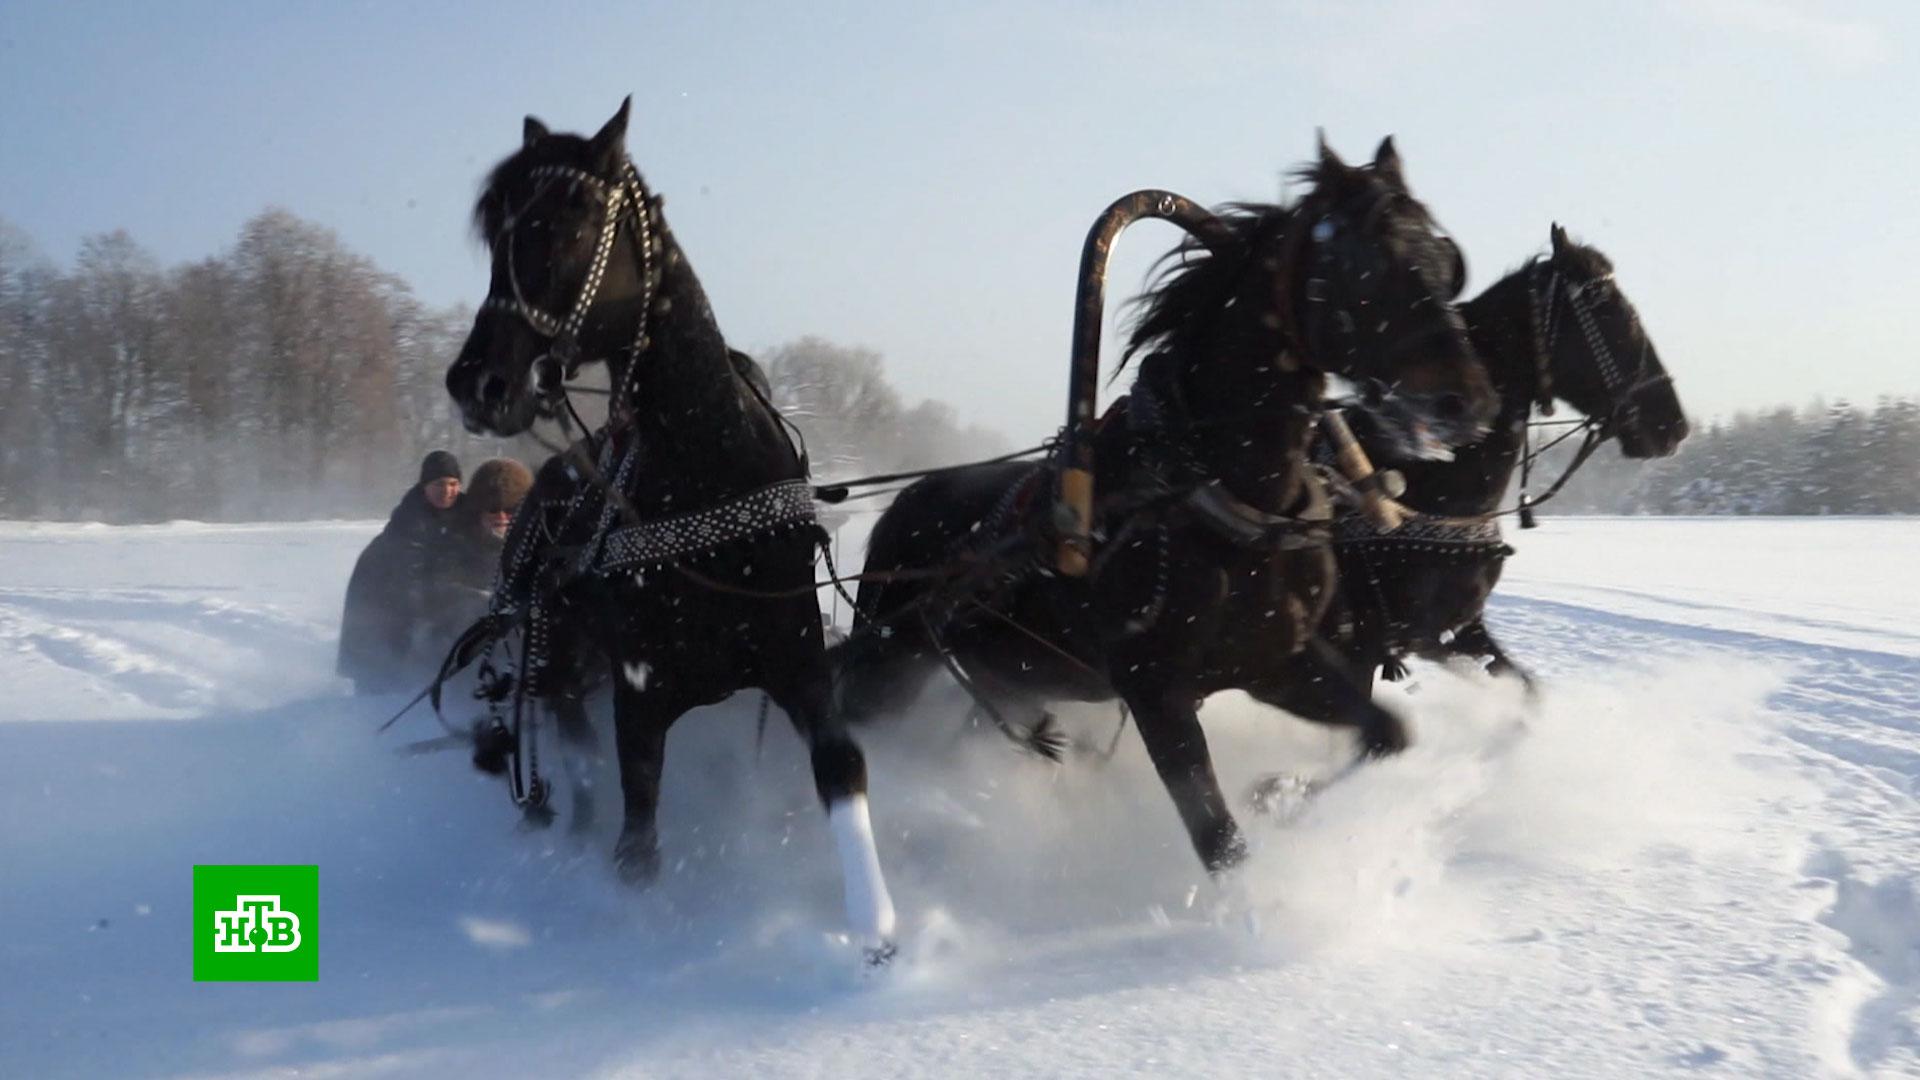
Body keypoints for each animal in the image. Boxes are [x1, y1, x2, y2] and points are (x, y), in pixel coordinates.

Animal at [445, 100, 902, 953]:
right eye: (497, 235)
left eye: (569, 220)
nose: (477, 383)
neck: (709, 466)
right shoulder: (639, 697)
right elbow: (638, 839)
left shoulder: (797, 664)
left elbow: (841, 768)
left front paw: (876, 929)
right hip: (560, 668)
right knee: (580, 770)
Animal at [829, 136, 1497, 876]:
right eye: (1367, 264)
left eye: (1446, 262)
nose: (1468, 402)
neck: (1222, 493)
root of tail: (908, 499)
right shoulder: (1155, 690)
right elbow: (1221, 842)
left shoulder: (1279, 664)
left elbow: (1388, 733)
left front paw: (1279, 793)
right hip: (893, 662)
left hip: (1010, 678)